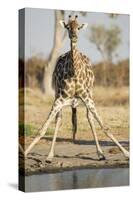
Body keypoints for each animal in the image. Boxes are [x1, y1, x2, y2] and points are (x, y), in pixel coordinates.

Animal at [24, 15, 129, 162]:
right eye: (68, 27)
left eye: (78, 27)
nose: (74, 36)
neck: (74, 72)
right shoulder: (59, 98)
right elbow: (43, 129)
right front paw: (26, 153)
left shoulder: (87, 97)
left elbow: (105, 127)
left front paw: (126, 153)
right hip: (58, 94)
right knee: (59, 119)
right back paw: (50, 155)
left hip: (90, 93)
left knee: (90, 118)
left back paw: (100, 154)